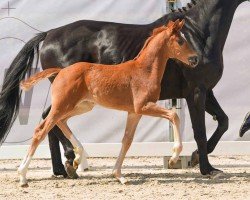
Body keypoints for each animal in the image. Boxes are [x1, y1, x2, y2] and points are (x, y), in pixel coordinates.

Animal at [18, 19, 197, 186]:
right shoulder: (143, 106)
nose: (194, 59)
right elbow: (174, 115)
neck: (144, 71)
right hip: (62, 106)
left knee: (61, 122)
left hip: (81, 106)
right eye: (180, 41)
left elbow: (127, 140)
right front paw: (174, 157)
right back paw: (23, 176)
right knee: (41, 130)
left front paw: (119, 175)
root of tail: (61, 71)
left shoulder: (134, 112)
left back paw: (77, 158)